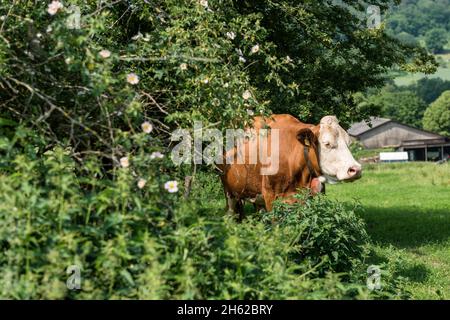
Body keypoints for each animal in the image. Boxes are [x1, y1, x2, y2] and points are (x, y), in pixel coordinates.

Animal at [219, 114, 362, 219]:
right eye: (327, 143)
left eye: (349, 142)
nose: (356, 169)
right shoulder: (270, 196)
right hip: (228, 190)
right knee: (230, 212)